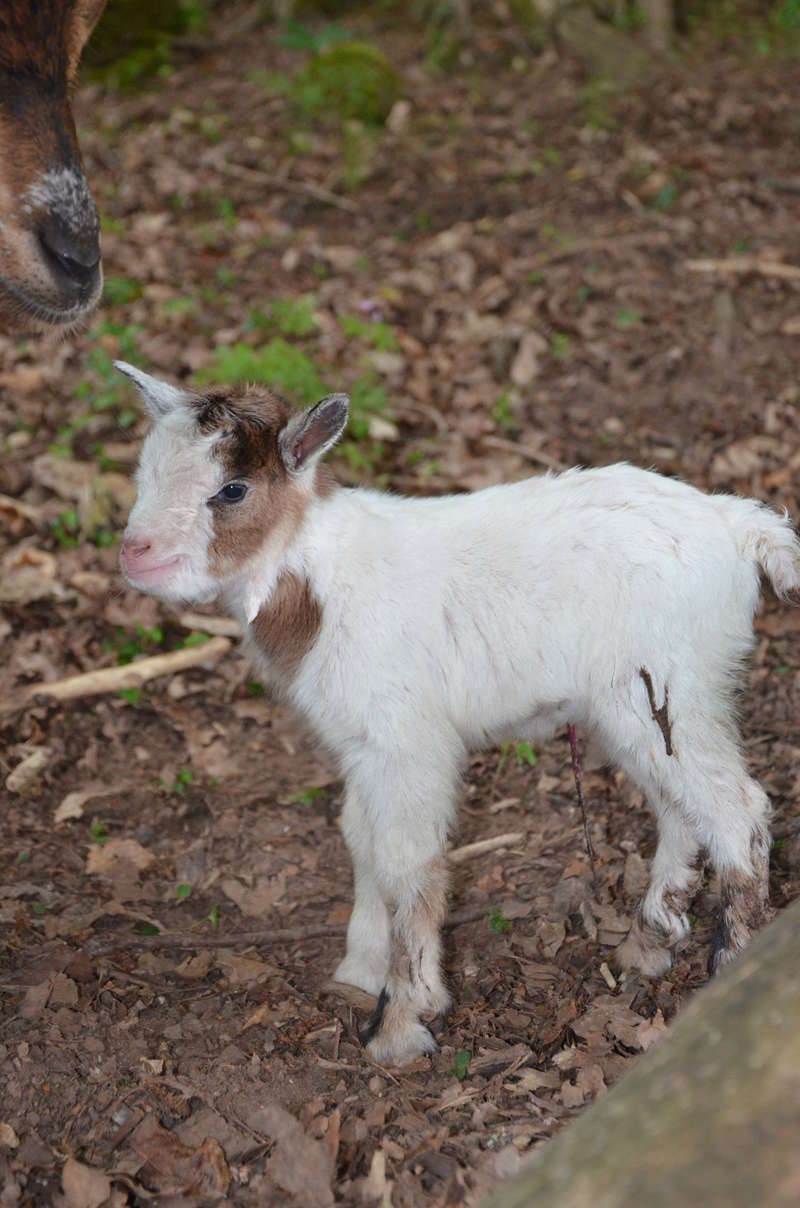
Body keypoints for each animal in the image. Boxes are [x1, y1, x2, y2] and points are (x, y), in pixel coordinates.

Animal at [116, 362, 797, 1063]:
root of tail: (738, 526)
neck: (327, 583)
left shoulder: (410, 742)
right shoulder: (361, 744)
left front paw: (401, 1021)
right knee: (678, 805)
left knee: (736, 808)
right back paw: (652, 938)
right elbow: (360, 837)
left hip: (670, 681)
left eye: (232, 490)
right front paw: (361, 969)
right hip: (638, 703)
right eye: (145, 471)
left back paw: (729, 970)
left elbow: (407, 859)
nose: (135, 554)